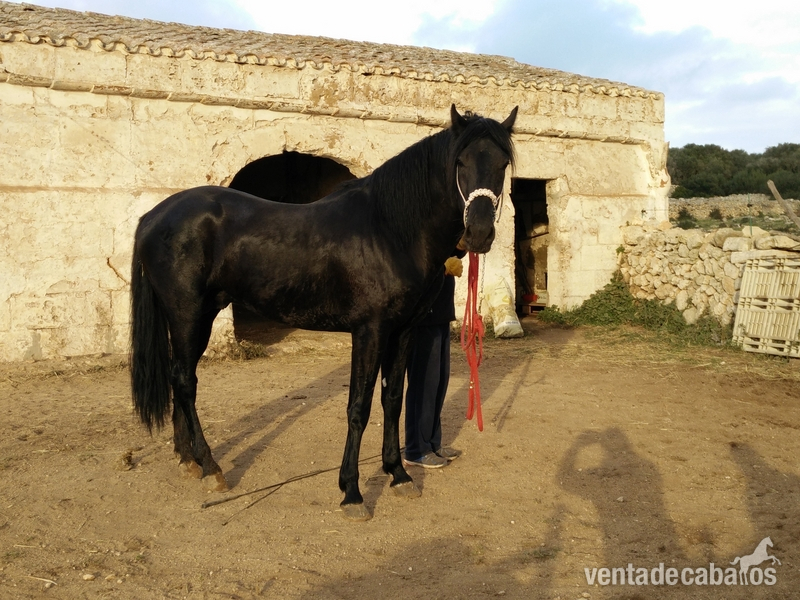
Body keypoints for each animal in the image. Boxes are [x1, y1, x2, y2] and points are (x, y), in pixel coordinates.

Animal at [130, 105, 517, 520]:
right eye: (460, 161)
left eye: (502, 164)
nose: (479, 233)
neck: (389, 230)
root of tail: (154, 215)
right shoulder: (370, 331)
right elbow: (359, 407)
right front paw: (352, 493)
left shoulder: (402, 331)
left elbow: (393, 401)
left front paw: (398, 475)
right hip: (189, 315)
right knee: (185, 381)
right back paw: (210, 466)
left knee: (178, 377)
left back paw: (188, 461)